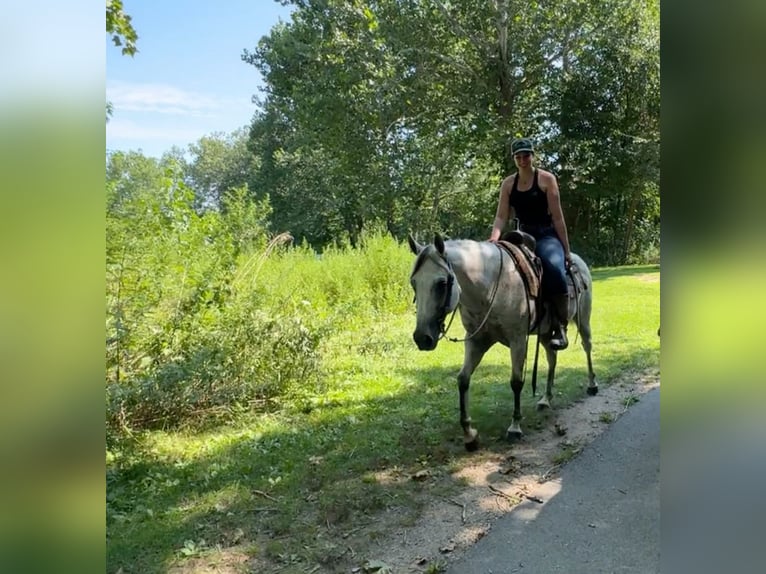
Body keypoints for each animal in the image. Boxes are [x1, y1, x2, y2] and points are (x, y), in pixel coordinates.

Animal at [408, 232, 600, 452]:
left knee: (587, 347)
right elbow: (463, 379)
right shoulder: (476, 342)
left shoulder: (518, 340)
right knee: (552, 358)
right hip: (545, 333)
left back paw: (592, 385)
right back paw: (545, 399)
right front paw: (469, 434)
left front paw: (515, 427)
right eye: (414, 283)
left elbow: (516, 382)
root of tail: (577, 260)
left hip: (583, 320)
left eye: (441, 284)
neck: (491, 286)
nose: (422, 338)